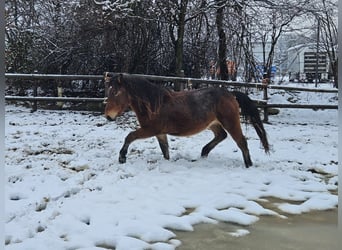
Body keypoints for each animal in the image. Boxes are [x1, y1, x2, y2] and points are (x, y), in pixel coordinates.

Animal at [103, 73, 268, 168]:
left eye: (116, 92)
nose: (108, 116)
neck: (154, 104)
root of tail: (230, 94)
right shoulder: (160, 133)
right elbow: (165, 150)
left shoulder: (151, 130)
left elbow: (129, 136)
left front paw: (122, 157)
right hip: (213, 124)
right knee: (221, 135)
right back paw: (204, 153)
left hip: (230, 122)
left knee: (241, 142)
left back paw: (248, 165)